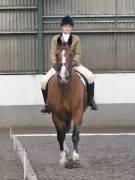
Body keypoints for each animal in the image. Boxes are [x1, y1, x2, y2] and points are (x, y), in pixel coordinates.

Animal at [47, 38, 87, 169]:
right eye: (56, 54)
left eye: (71, 54)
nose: (63, 77)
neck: (65, 88)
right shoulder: (56, 115)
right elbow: (60, 136)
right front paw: (63, 159)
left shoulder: (78, 113)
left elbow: (75, 135)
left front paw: (76, 158)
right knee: (62, 133)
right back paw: (65, 151)